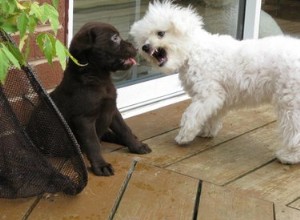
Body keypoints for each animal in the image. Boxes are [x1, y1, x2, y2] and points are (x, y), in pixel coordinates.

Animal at [131, 0, 300, 164]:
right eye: (144, 39)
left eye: (160, 33)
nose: (145, 47)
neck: (193, 51)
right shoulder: (218, 98)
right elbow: (211, 115)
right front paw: (206, 131)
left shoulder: (208, 94)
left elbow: (191, 115)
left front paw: (184, 136)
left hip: (290, 103)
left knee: (294, 130)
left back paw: (289, 156)